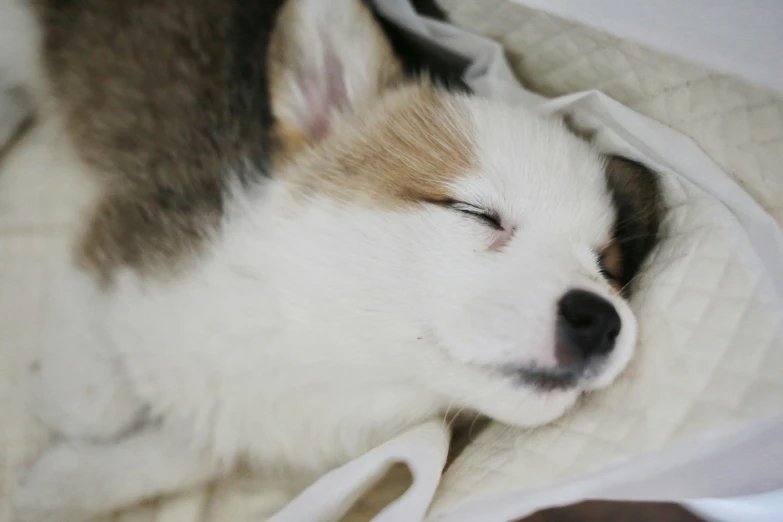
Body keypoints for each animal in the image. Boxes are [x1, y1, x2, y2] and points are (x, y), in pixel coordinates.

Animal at [0, 0, 660, 516]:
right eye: (477, 213)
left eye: (607, 267)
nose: (600, 319)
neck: (326, 348)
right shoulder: (125, 233)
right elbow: (93, 395)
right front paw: (67, 412)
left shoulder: (250, 423)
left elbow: (179, 451)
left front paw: (58, 484)